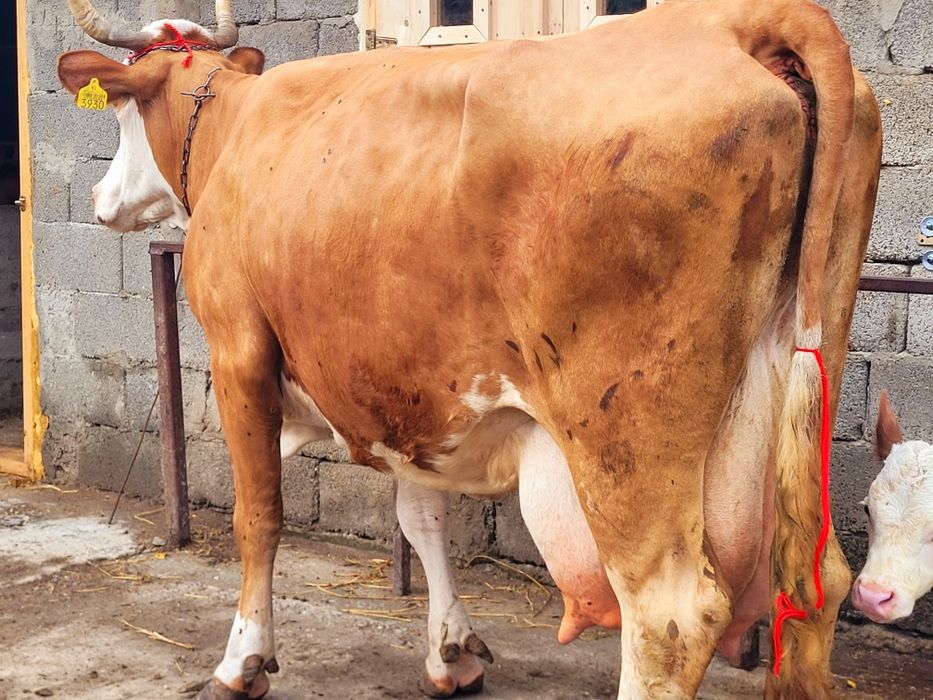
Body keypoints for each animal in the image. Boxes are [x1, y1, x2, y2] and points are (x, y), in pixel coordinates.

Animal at [56, 0, 883, 696]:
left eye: (121, 109)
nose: (99, 199)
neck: (234, 132)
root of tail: (734, 20)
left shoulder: (239, 352)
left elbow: (257, 517)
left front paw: (242, 661)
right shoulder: (407, 391)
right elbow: (420, 518)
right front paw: (450, 652)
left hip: (625, 439)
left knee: (672, 614)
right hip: (799, 386)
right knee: (814, 583)